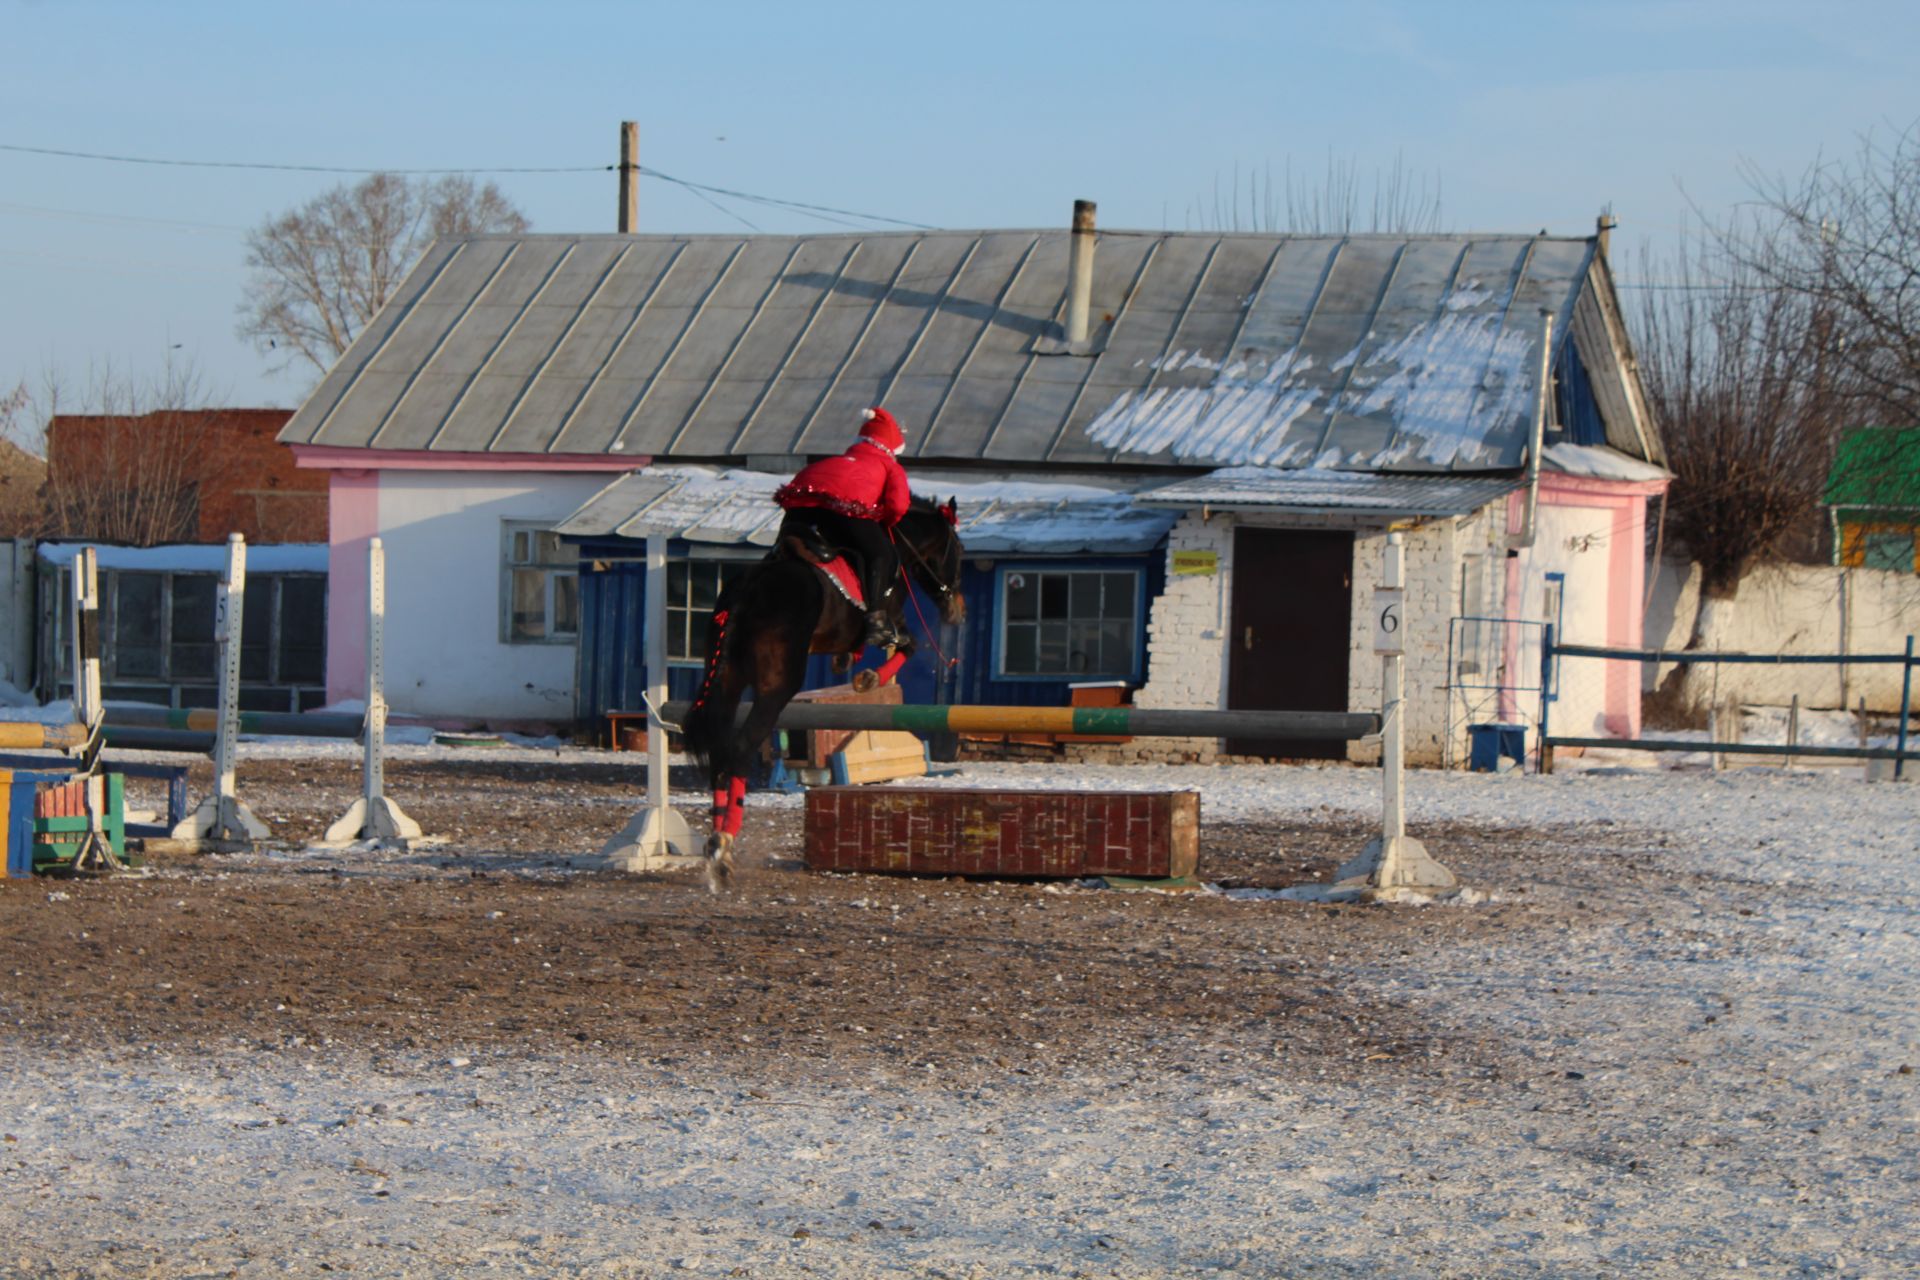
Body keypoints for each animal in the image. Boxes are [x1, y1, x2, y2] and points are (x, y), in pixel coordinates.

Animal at [683, 495, 967, 886]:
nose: (958, 610)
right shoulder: (894, 618)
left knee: (720, 749)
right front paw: (868, 678)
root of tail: (749, 589)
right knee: (741, 747)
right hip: (776, 686)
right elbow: (906, 644)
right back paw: (724, 843)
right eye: (960, 551)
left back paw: (715, 840)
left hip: (727, 680)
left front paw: (850, 663)